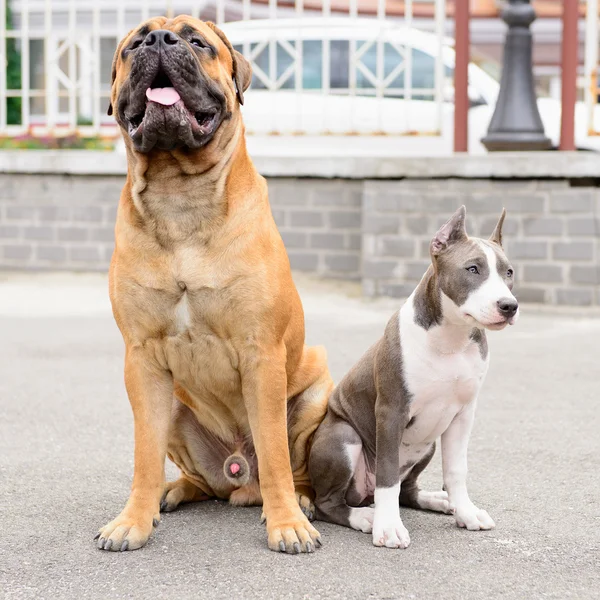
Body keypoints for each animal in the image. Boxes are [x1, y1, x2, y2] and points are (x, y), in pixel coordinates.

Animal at [96, 16, 336, 556]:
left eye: (196, 41)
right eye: (133, 44)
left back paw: (300, 500)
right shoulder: (141, 359)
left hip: (316, 385)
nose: (158, 40)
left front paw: (287, 524)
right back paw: (172, 492)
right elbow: (143, 456)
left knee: (291, 465)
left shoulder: (262, 354)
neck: (179, 192)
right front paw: (133, 520)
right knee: (202, 480)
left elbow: (275, 452)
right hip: (176, 409)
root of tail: (239, 476)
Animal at [310, 205, 516, 548]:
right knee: (329, 502)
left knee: (408, 491)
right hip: (343, 436)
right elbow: (388, 476)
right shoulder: (391, 412)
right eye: (473, 269)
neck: (451, 338)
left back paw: (437, 500)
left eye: (509, 272)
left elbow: (456, 470)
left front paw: (466, 512)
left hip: (427, 443)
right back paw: (365, 517)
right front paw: (388, 528)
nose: (509, 306)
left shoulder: (463, 414)